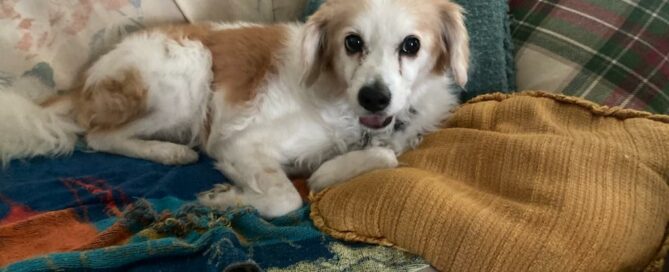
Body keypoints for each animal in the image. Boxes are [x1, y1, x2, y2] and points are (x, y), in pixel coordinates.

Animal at [0, 0, 470, 218]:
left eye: (411, 45)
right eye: (352, 42)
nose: (374, 97)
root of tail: (84, 79)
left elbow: (384, 155)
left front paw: (326, 173)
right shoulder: (242, 144)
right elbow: (285, 199)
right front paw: (225, 198)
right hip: (189, 69)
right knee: (98, 136)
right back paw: (168, 152)